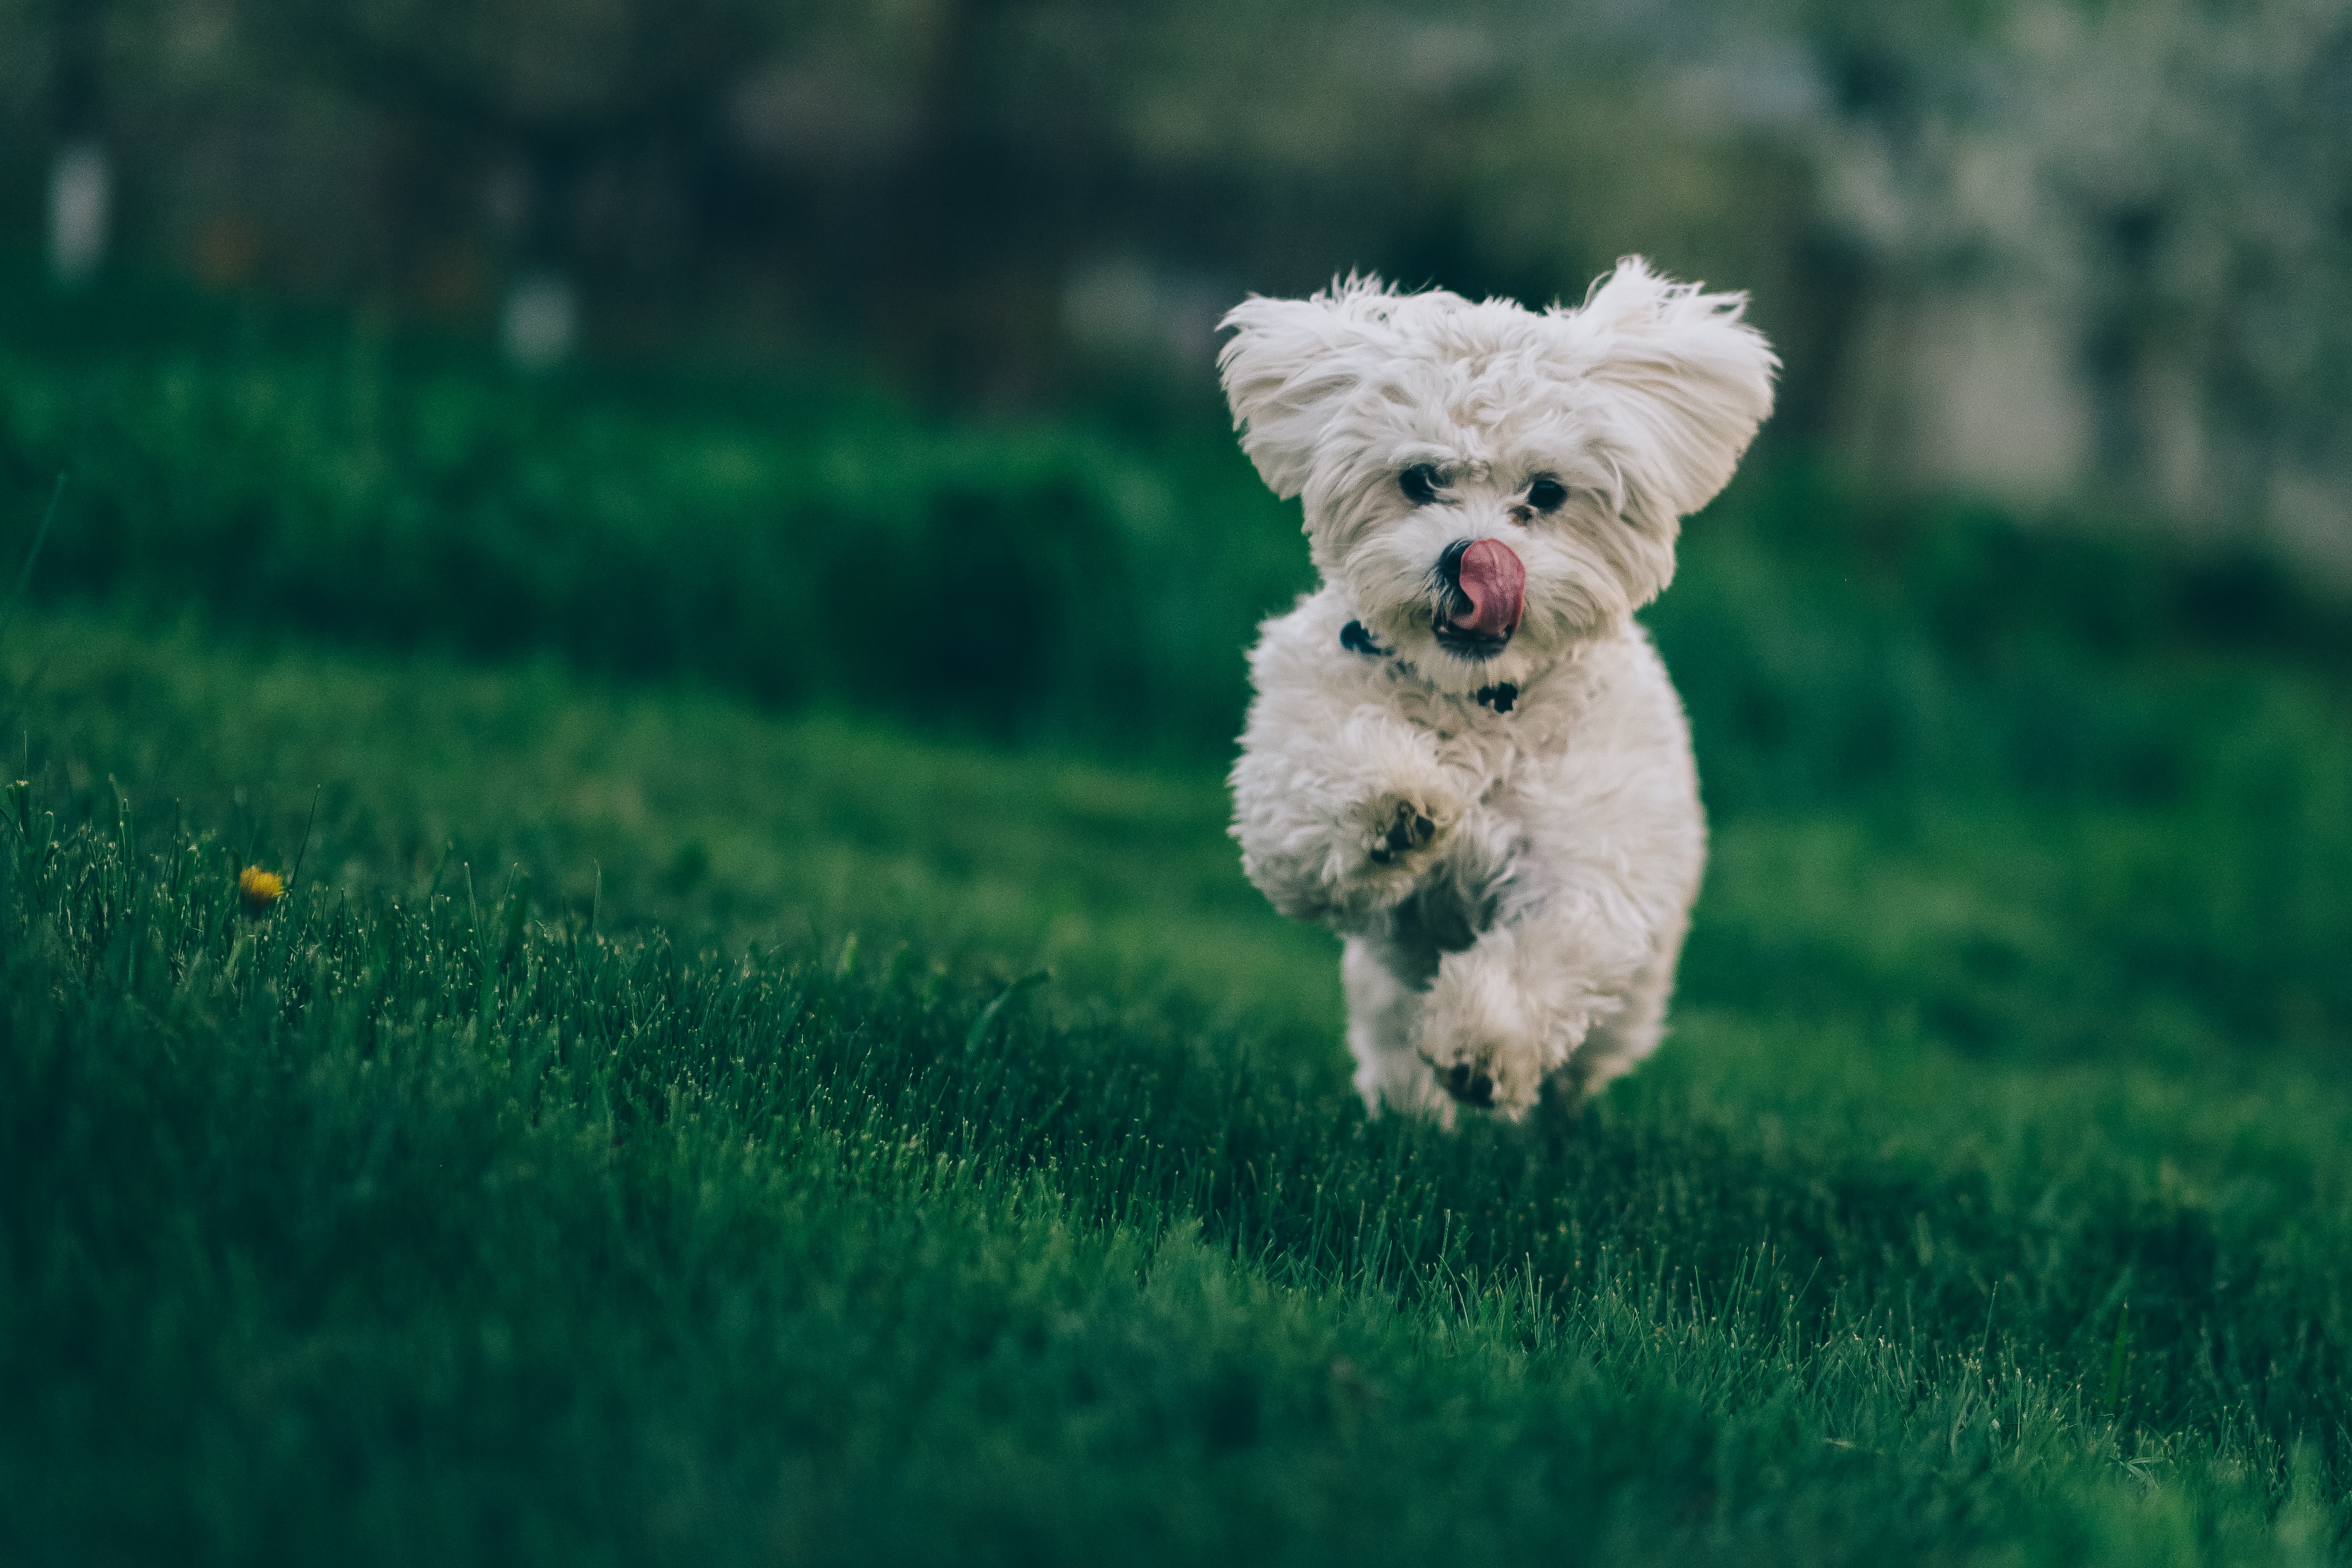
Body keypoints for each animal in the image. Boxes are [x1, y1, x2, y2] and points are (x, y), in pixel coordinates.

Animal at [1223, 261, 1768, 1114]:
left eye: (1545, 494)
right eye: (1419, 480)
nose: (1471, 558)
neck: (1478, 701)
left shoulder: (1588, 863)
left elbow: (1546, 952)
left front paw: (1481, 1045)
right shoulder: (1288, 777)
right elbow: (1319, 797)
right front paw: (1398, 807)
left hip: (1628, 1006)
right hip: (1382, 996)